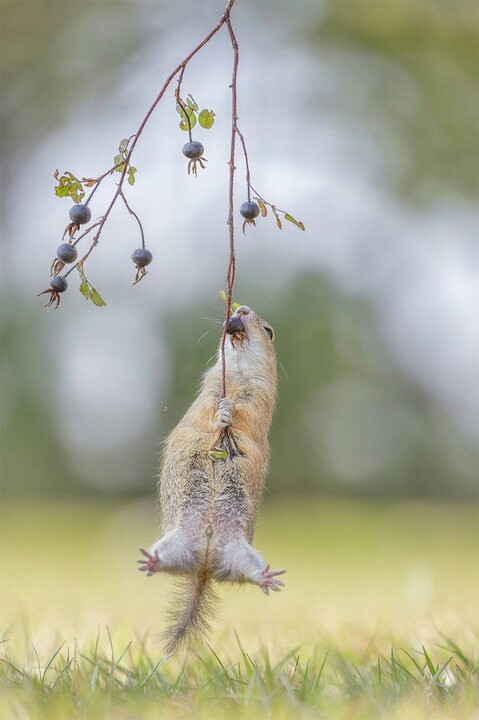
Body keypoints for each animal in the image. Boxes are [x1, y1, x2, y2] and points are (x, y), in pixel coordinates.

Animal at [139, 304, 286, 652]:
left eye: (269, 331)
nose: (241, 308)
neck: (237, 372)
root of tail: (204, 567)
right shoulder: (207, 389)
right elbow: (206, 411)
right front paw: (221, 414)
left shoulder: (260, 398)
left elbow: (247, 416)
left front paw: (229, 412)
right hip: (179, 543)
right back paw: (152, 561)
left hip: (239, 553)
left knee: (246, 573)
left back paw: (265, 577)